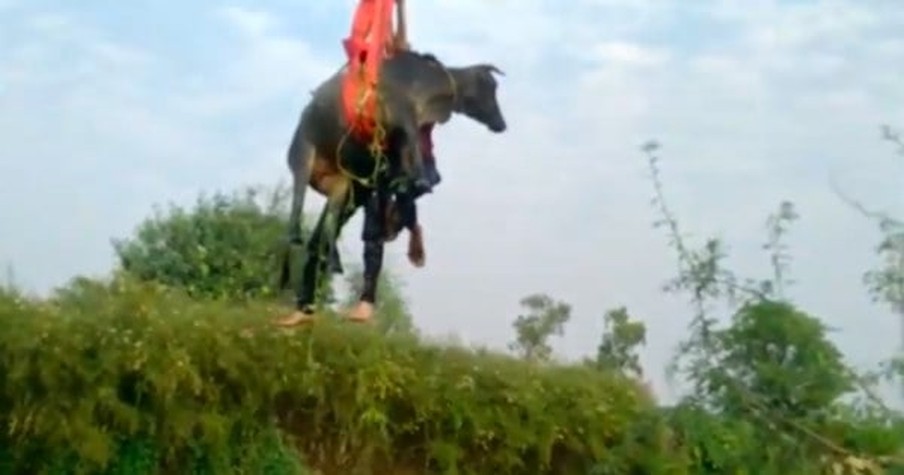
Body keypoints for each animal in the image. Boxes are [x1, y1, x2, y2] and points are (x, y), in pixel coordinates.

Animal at [276, 51, 504, 328]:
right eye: (491, 86)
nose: (501, 124)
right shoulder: (403, 116)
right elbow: (414, 166)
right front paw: (416, 185)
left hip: (340, 185)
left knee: (326, 229)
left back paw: (331, 268)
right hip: (303, 157)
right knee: (296, 217)